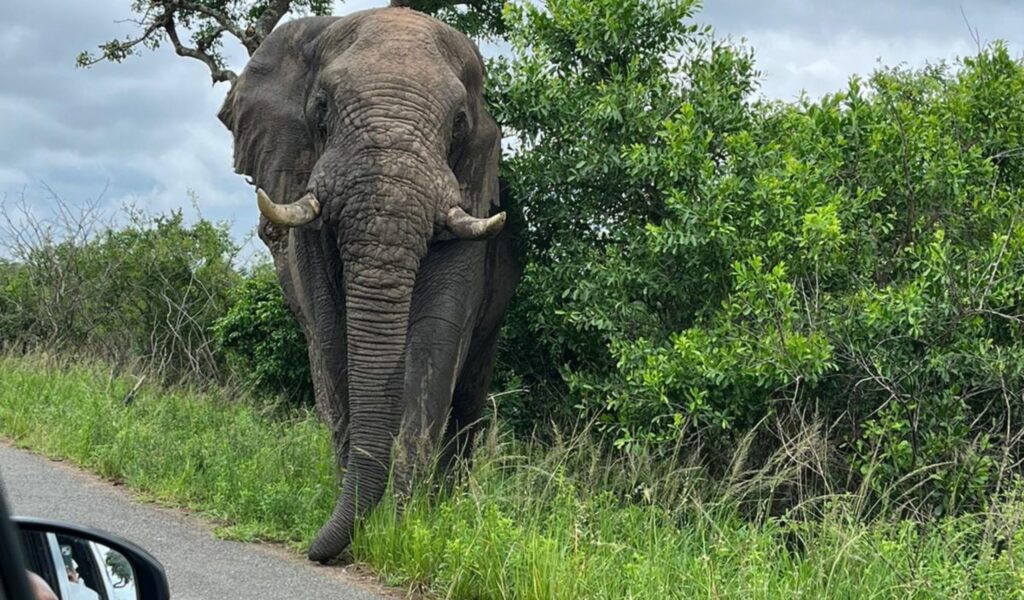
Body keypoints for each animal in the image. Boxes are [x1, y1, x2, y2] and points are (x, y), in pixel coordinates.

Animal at [217, 4, 520, 562]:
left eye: (459, 124)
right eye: (321, 106)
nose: (313, 552)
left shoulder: (471, 203)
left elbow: (435, 339)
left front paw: (406, 526)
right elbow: (331, 332)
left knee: (469, 395)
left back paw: (447, 499)